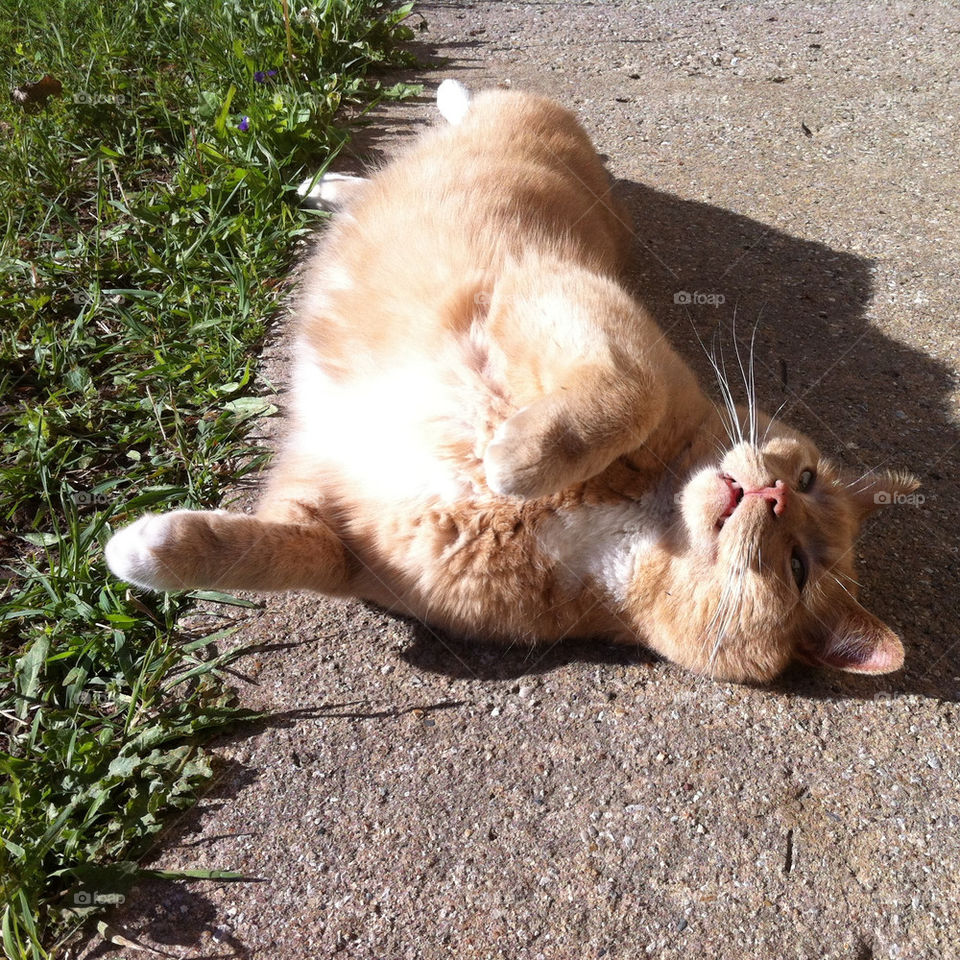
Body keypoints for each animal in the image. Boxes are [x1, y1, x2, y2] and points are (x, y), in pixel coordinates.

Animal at [103, 80, 916, 684]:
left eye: (798, 566)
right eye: (806, 478)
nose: (772, 493)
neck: (624, 519)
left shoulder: (345, 540)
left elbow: (270, 552)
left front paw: (152, 550)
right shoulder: (556, 302)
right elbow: (625, 398)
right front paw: (519, 458)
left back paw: (324, 181)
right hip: (522, 123)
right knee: (468, 106)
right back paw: (411, 122)